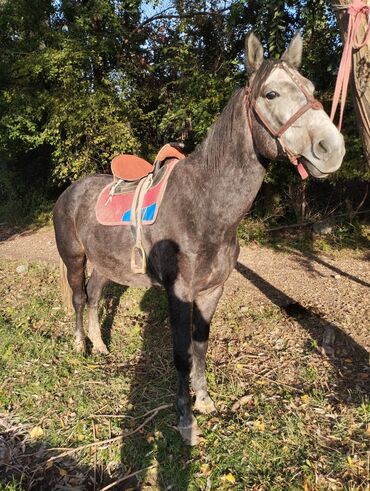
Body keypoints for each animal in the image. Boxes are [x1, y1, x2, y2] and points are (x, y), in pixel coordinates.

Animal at [53, 32, 346, 444]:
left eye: (311, 88)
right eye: (271, 94)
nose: (332, 149)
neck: (205, 205)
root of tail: (70, 190)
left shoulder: (211, 291)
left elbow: (201, 345)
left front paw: (204, 400)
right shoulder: (179, 293)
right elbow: (180, 352)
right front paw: (184, 419)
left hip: (108, 266)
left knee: (94, 296)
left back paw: (101, 345)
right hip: (74, 259)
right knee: (79, 298)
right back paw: (81, 345)